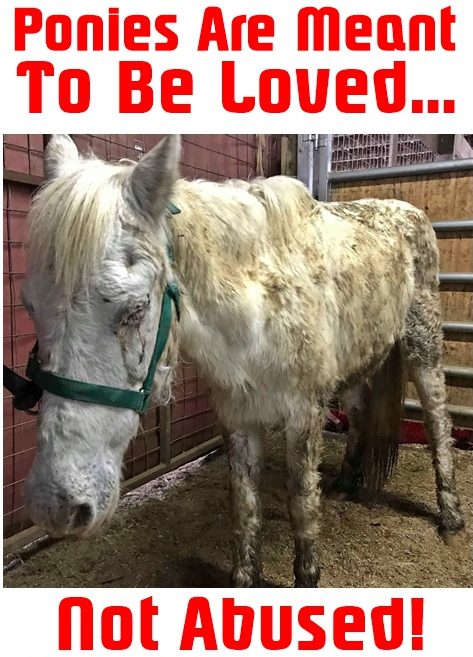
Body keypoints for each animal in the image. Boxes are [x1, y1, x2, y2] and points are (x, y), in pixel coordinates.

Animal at [22, 134, 464, 587]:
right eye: (31, 307)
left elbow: (302, 505)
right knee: (359, 414)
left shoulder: (303, 416)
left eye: (135, 308)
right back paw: (346, 483)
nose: (58, 508)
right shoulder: (238, 416)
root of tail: (409, 211)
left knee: (438, 422)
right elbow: (245, 507)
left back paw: (449, 516)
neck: (257, 310)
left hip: (423, 347)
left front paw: (307, 576)